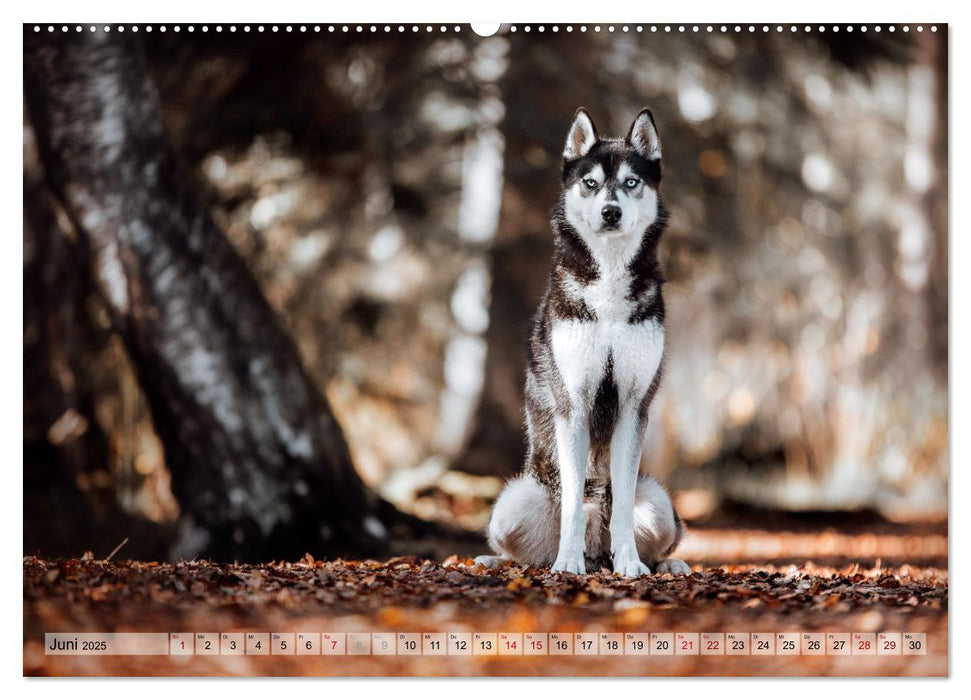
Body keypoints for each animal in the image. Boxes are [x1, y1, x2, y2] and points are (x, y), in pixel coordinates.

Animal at [478, 108, 692, 576]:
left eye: (631, 182)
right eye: (590, 183)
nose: (610, 212)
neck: (608, 285)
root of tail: (598, 554)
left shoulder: (633, 405)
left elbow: (624, 507)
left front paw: (630, 565)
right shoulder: (572, 404)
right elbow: (575, 504)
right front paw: (566, 564)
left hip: (662, 504)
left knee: (656, 535)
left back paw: (667, 564)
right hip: (509, 504)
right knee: (520, 551)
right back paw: (505, 559)